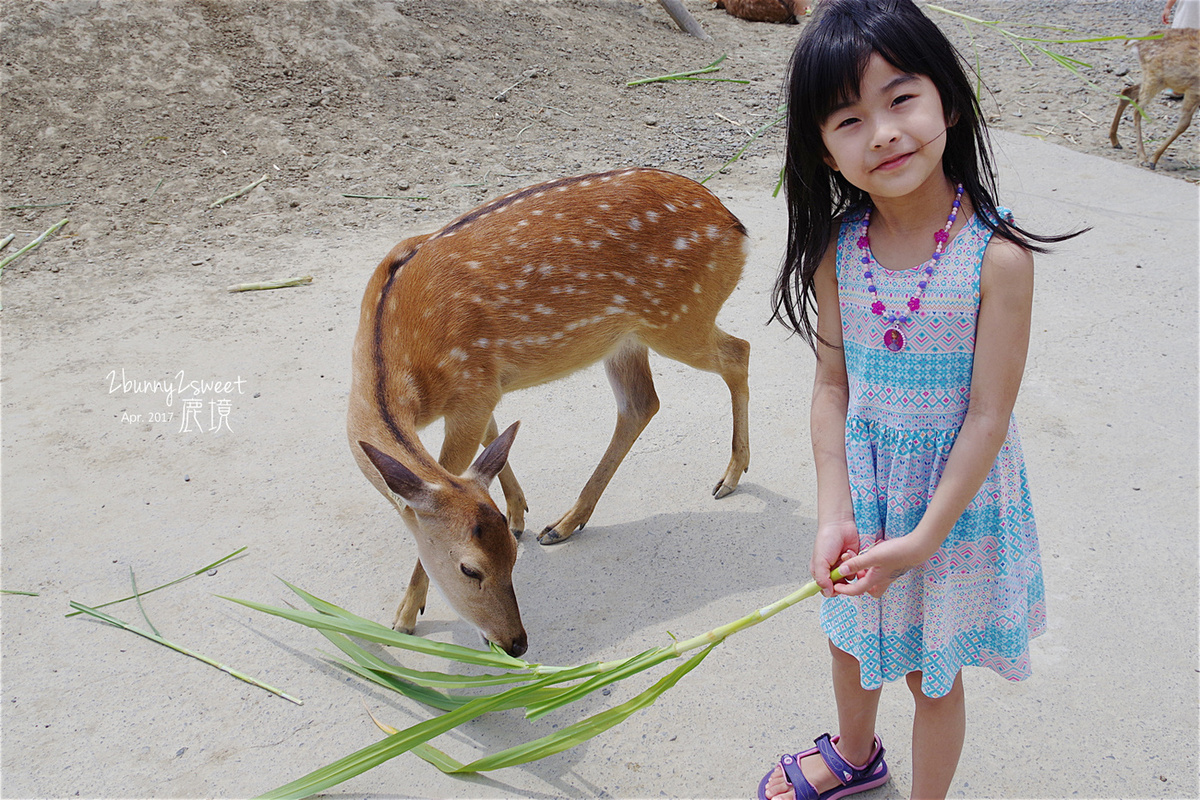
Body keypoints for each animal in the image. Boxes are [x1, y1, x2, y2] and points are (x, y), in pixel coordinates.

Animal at [343, 169, 748, 657]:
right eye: (471, 569)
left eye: (509, 562)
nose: (515, 644)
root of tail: (735, 224)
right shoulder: (482, 391)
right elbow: (493, 441)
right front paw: (518, 513)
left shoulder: (472, 387)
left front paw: (404, 616)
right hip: (629, 336)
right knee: (642, 402)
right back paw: (565, 523)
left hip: (677, 316)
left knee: (738, 352)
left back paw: (729, 476)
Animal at [1108, 28, 1195, 170]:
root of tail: (1138, 42)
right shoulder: (1194, 88)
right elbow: (1184, 124)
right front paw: (1154, 159)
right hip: (1156, 77)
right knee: (1137, 108)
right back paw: (1143, 157)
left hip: (1160, 78)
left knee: (1128, 92)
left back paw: (1116, 141)